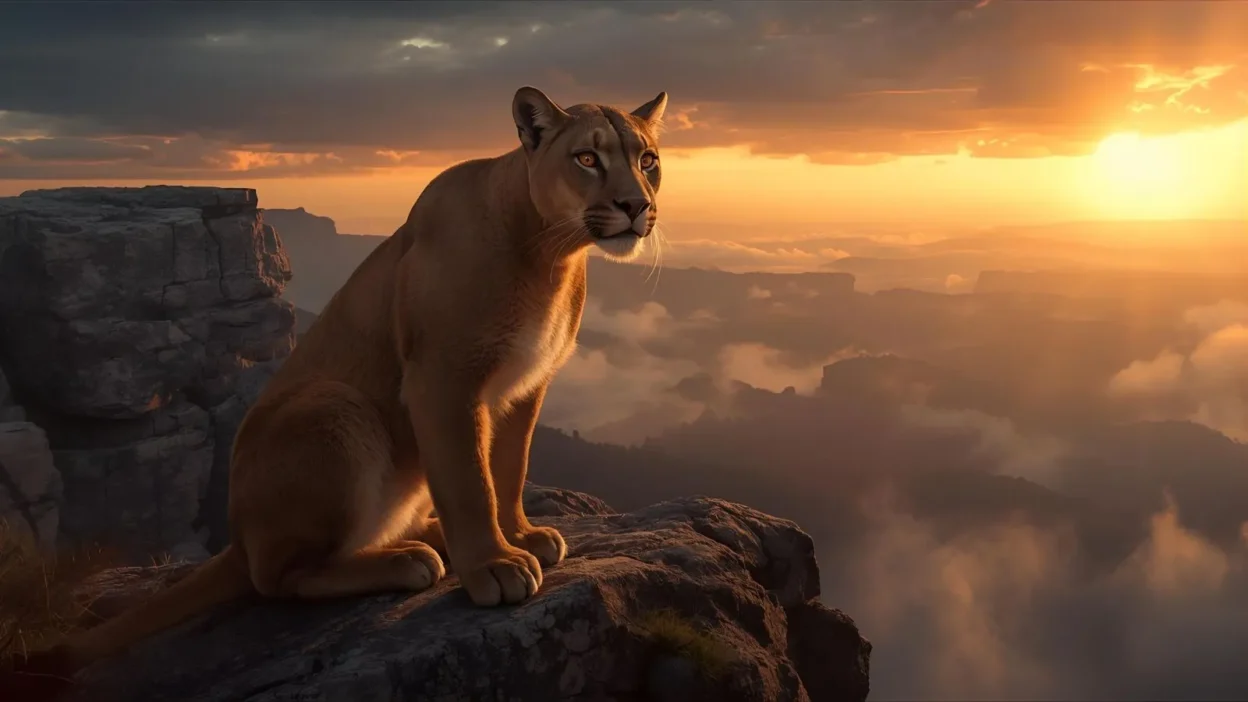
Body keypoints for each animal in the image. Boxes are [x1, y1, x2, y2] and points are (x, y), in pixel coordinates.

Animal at [6, 85, 668, 692]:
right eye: (587, 158)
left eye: (648, 160)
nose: (637, 206)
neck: (551, 253)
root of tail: (239, 533)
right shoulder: (443, 380)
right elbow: (468, 481)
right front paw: (494, 564)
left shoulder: (526, 385)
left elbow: (507, 469)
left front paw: (521, 535)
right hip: (333, 406)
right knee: (277, 577)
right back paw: (411, 560)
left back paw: (425, 537)